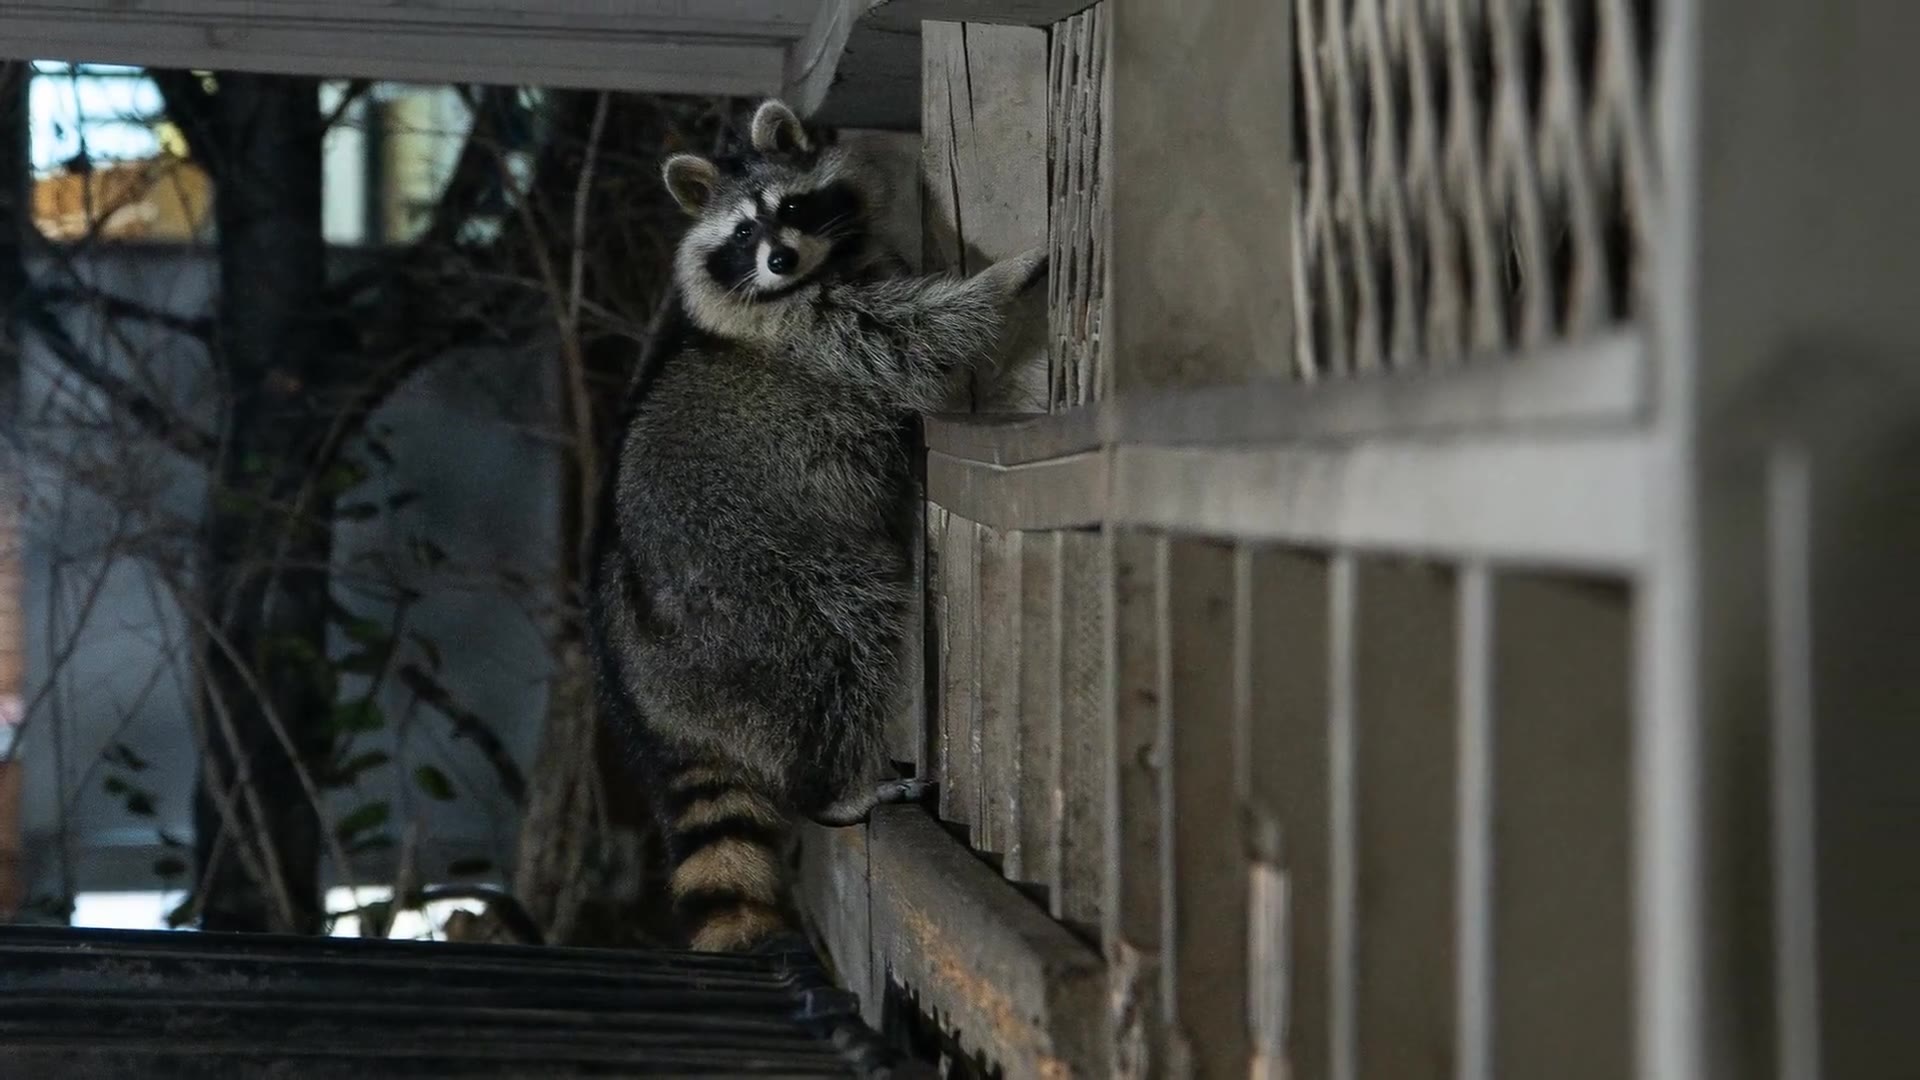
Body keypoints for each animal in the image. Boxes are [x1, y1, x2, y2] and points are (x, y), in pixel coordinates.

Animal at [588, 99, 1046, 953]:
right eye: (742, 234)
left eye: (792, 210)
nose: (779, 258)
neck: (815, 274)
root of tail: (655, 706)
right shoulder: (822, 333)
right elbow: (919, 336)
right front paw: (1002, 280)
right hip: (760, 600)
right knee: (844, 642)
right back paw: (833, 786)